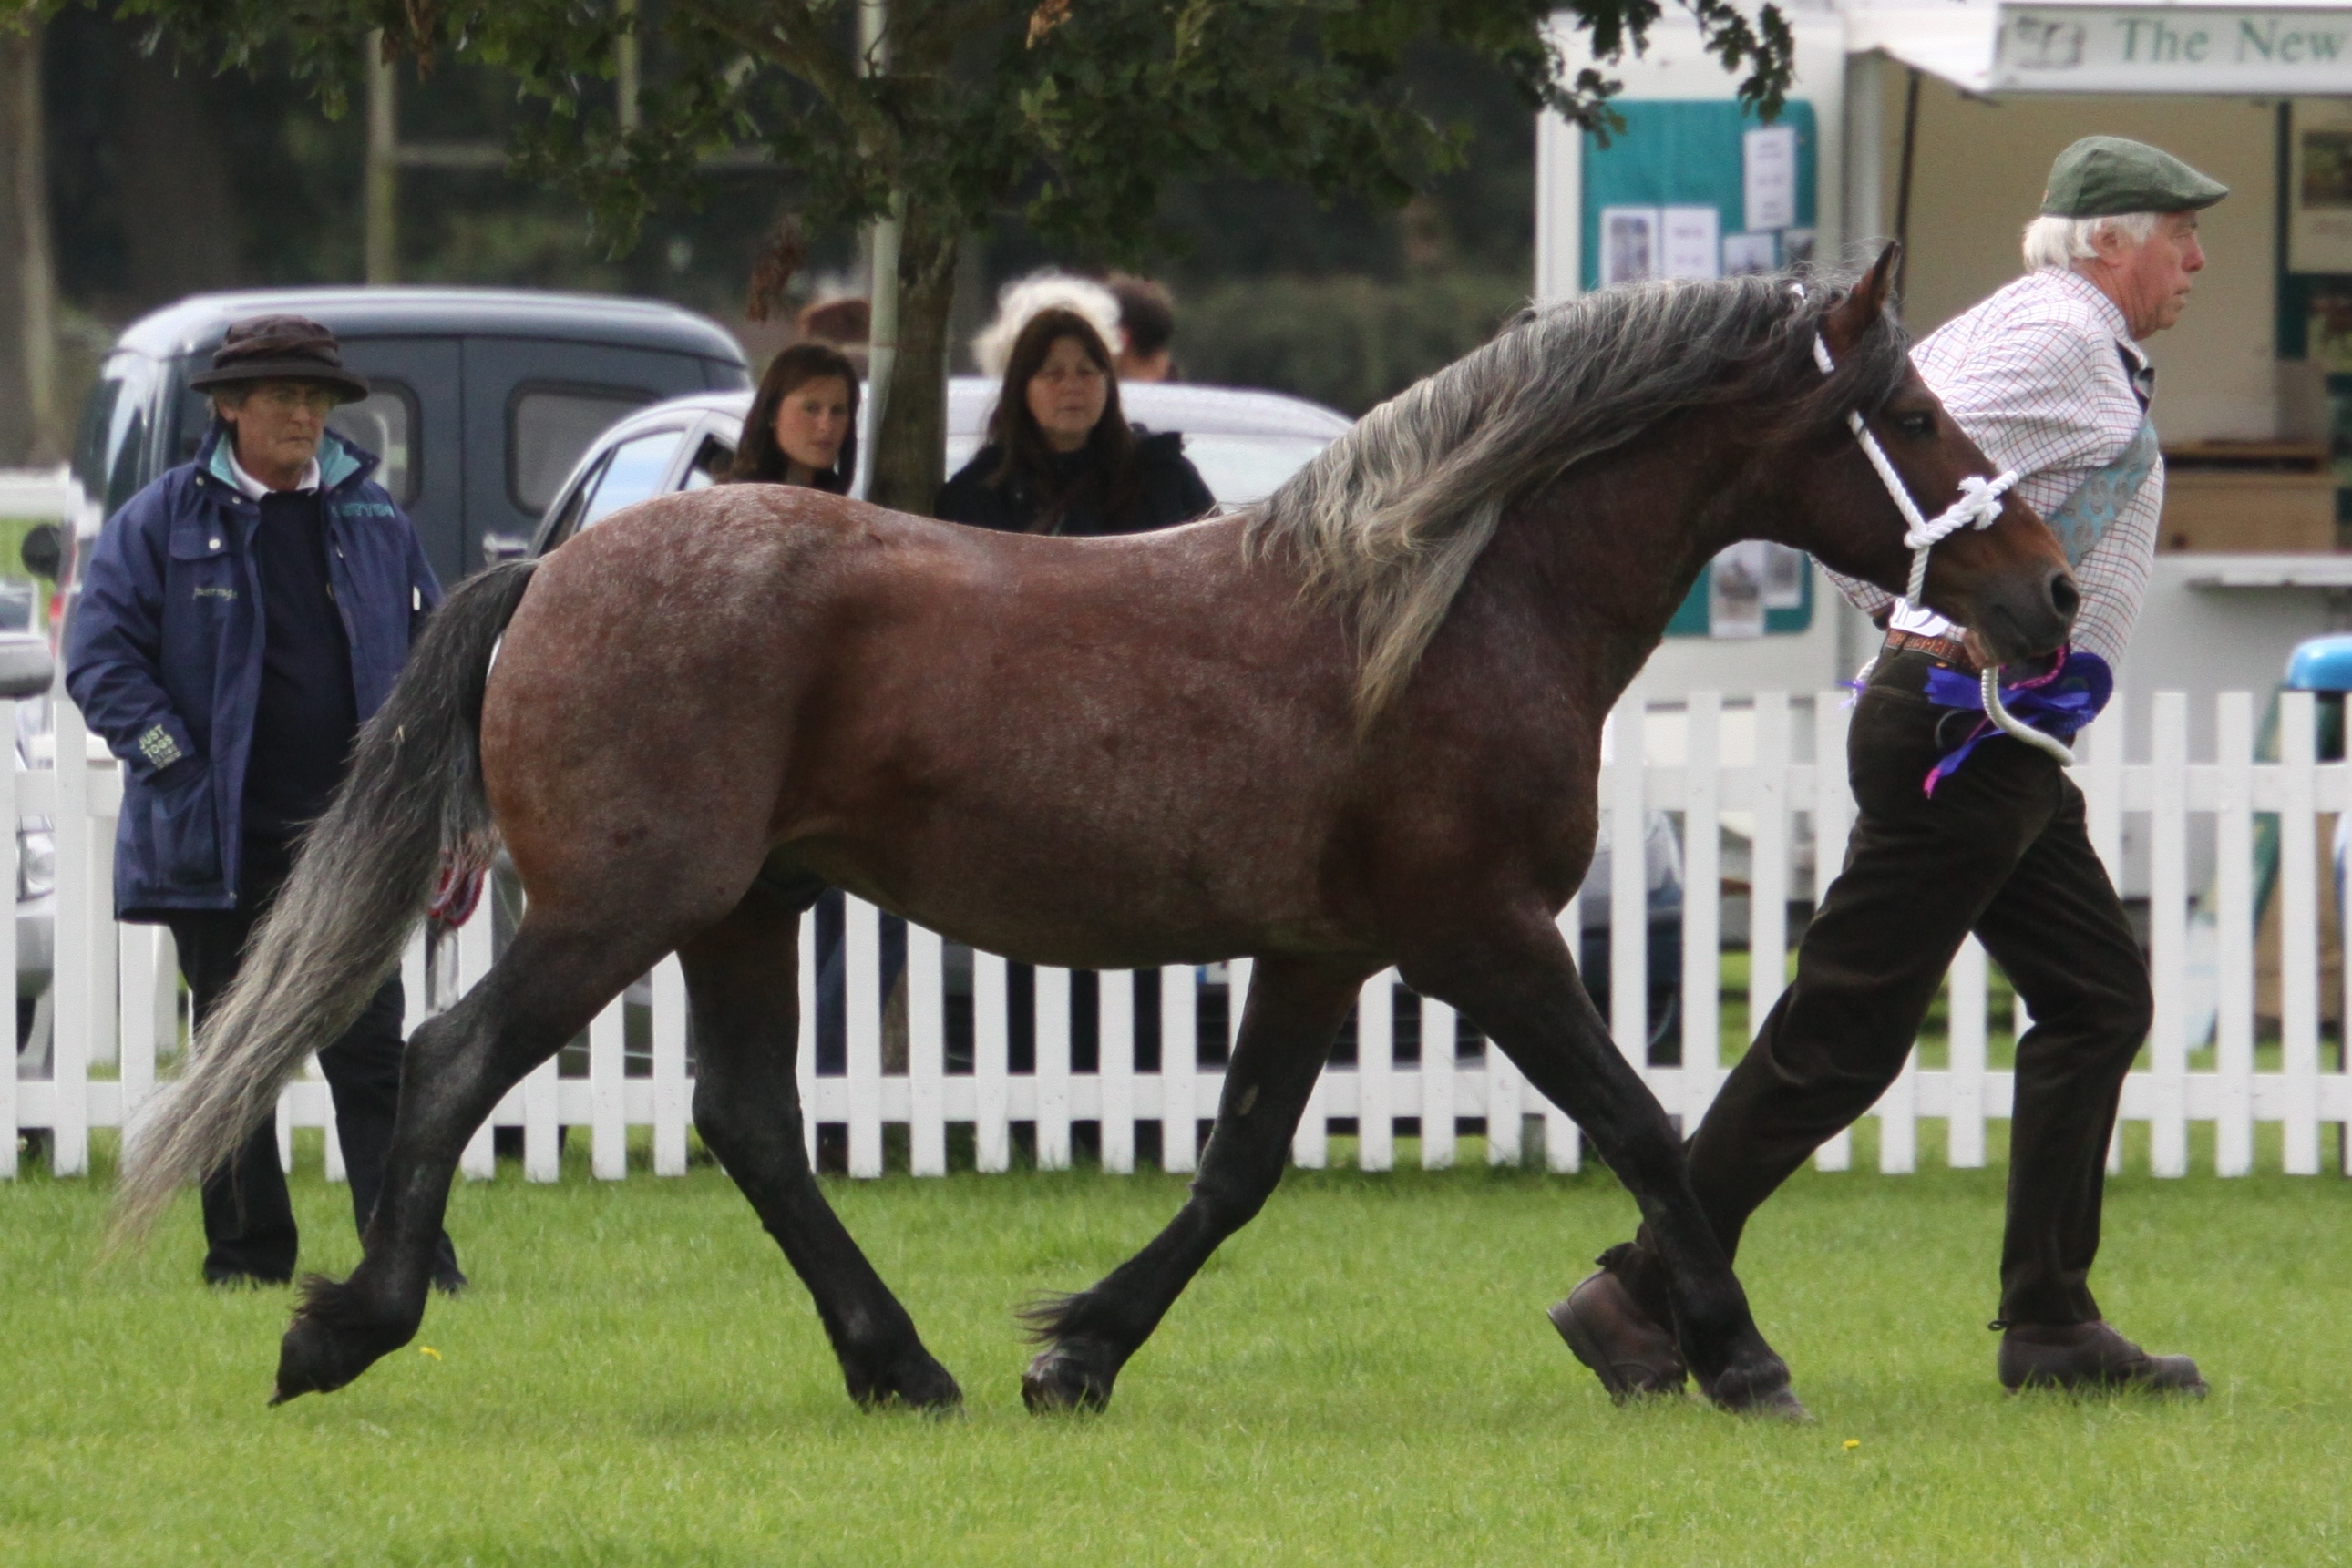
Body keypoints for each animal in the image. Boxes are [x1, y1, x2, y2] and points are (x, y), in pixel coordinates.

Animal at [118, 245, 2070, 1419]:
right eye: (1909, 413)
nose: (2043, 595)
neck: (1442, 602)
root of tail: (552, 568)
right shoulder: (1484, 937)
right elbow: (1644, 1125)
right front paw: (1738, 1357)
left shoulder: (1323, 951)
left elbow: (1237, 1166)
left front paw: (1077, 1354)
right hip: (623, 909)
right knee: (452, 1065)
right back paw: (344, 1325)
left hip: (746, 910)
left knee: (748, 1121)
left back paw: (903, 1364)